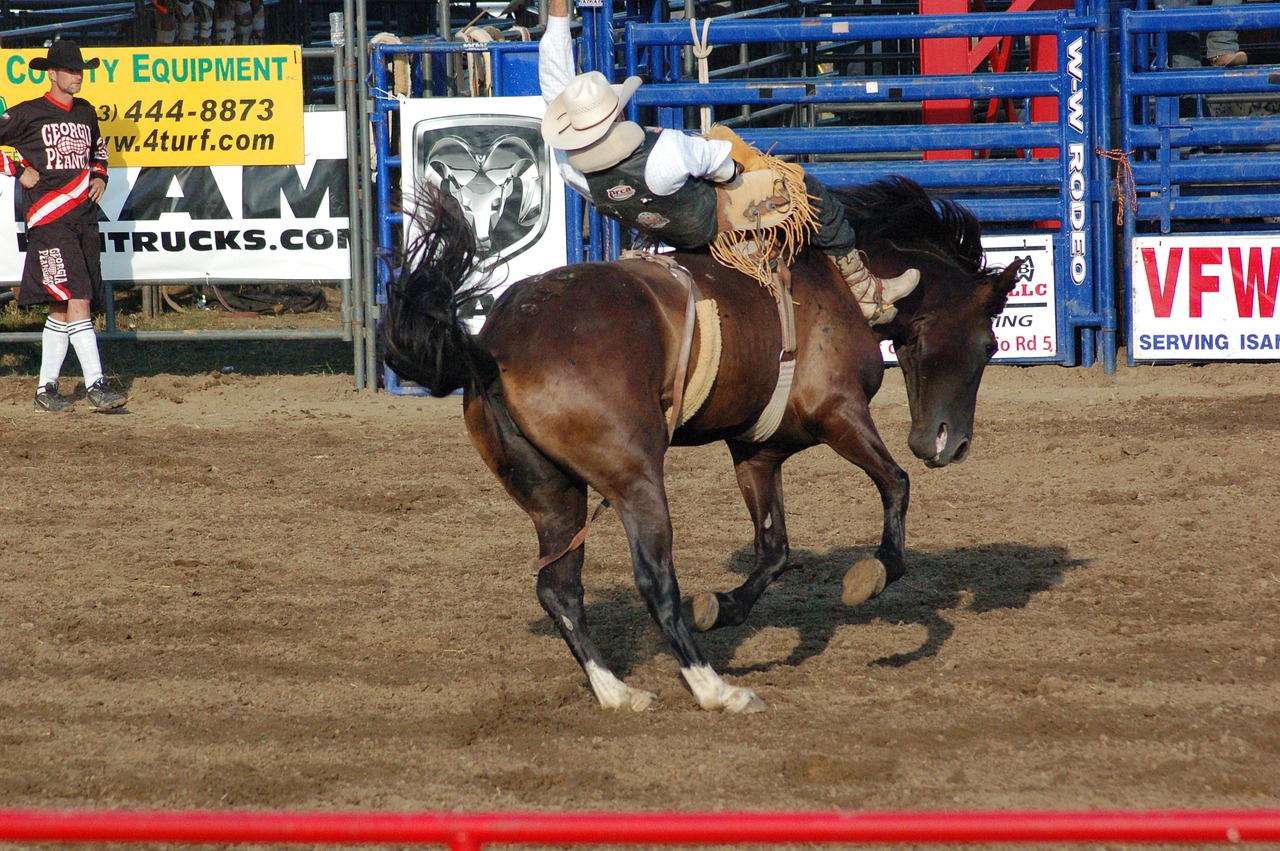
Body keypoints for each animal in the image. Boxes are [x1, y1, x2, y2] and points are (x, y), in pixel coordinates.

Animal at [378, 175, 1018, 711]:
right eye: (989, 343)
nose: (949, 443)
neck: (838, 288)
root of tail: (494, 346)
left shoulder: (757, 452)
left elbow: (774, 548)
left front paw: (726, 606)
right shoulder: (839, 413)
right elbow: (895, 484)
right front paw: (875, 573)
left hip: (553, 496)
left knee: (558, 589)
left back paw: (619, 693)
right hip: (634, 479)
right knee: (654, 581)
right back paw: (716, 689)